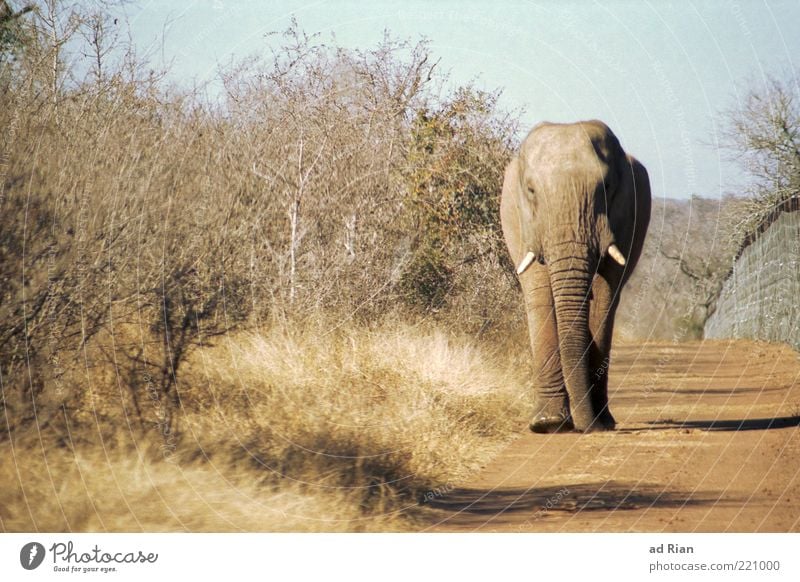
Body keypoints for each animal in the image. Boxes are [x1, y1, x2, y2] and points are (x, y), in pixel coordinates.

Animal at [504, 120, 652, 434]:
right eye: (531, 190)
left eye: (606, 187)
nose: (587, 426)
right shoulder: (523, 222)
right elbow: (540, 294)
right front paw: (548, 424)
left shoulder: (626, 216)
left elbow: (604, 296)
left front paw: (596, 423)